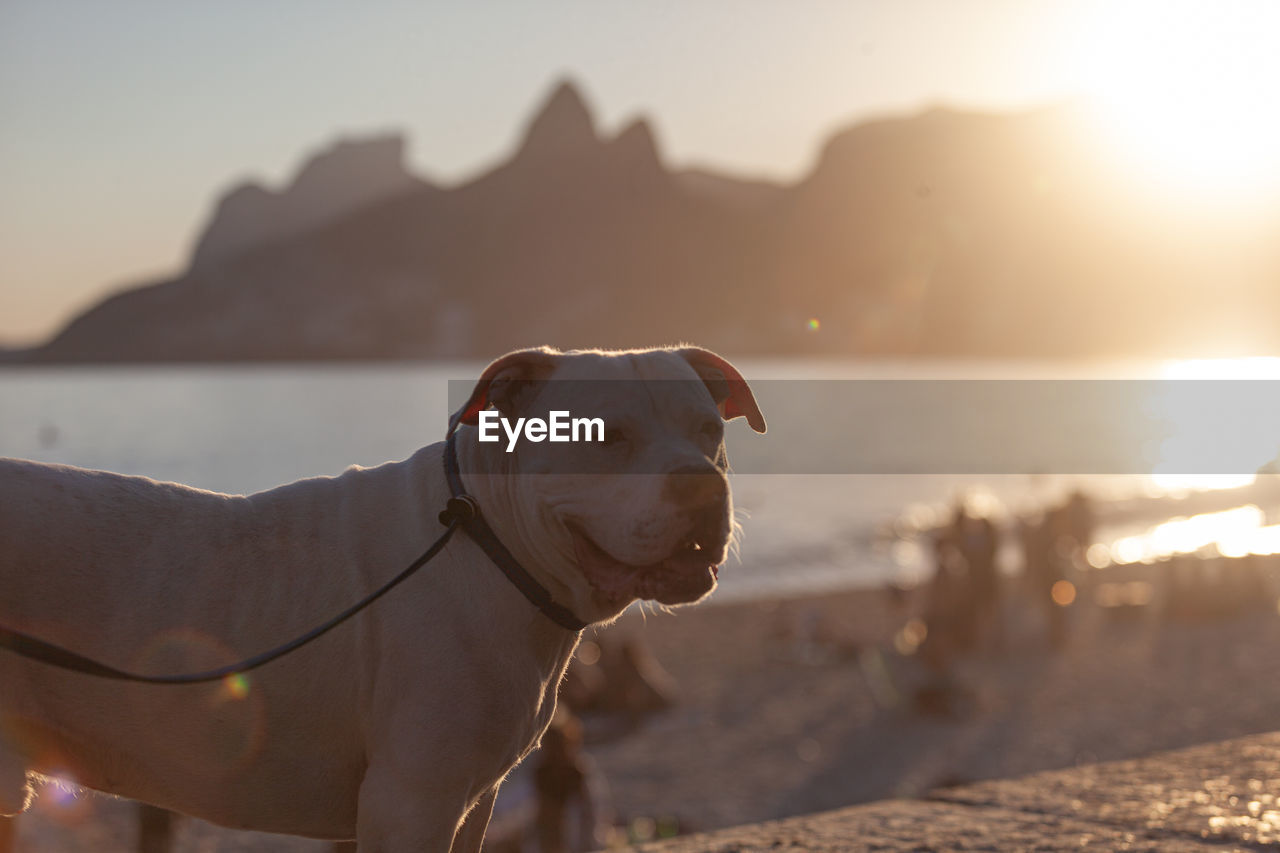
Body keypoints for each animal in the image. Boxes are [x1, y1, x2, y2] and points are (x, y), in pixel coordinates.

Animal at [0, 345, 762, 850]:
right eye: (605, 436)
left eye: (708, 431)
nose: (701, 484)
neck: (486, 542)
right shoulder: (411, 803)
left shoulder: (470, 801)